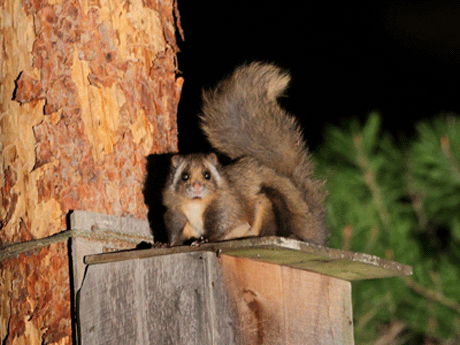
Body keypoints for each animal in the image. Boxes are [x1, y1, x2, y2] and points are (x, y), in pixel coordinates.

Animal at [162, 61, 328, 245]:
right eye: (184, 176)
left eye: (207, 175)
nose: (197, 187)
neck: (196, 204)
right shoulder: (175, 213)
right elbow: (176, 235)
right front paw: (163, 244)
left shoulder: (226, 209)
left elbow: (222, 228)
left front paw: (204, 241)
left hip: (266, 207)